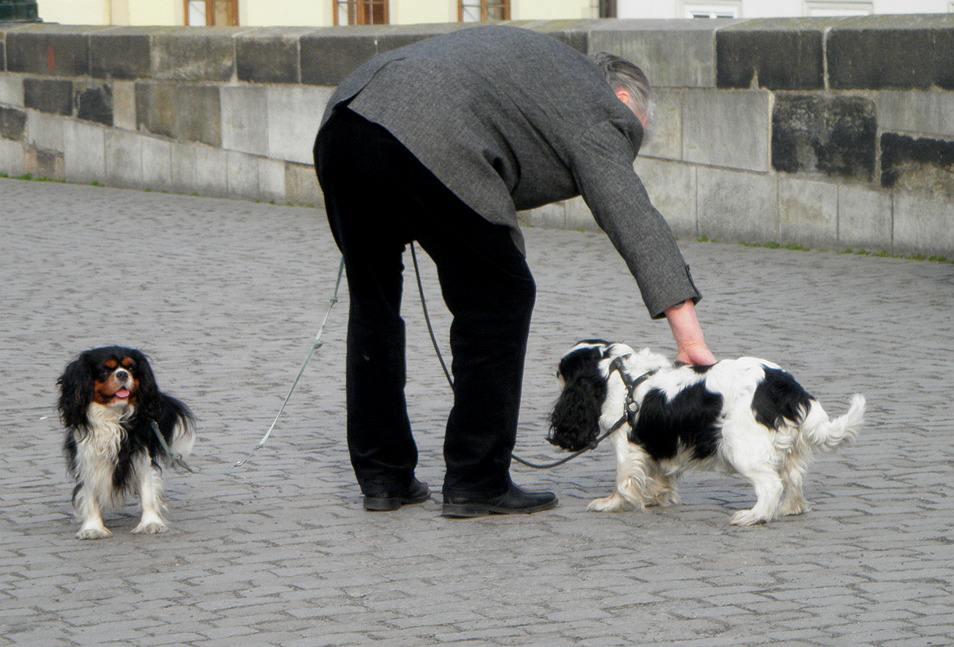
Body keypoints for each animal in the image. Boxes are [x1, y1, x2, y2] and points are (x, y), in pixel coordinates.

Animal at [57, 346, 195, 539]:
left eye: (131, 368)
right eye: (105, 370)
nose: (122, 374)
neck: (114, 416)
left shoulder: (141, 455)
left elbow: (147, 491)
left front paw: (151, 523)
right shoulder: (88, 456)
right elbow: (90, 494)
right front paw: (93, 528)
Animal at [548, 340, 864, 526]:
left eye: (562, 372)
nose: (554, 373)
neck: (617, 372)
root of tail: (788, 388)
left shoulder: (627, 446)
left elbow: (624, 481)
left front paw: (611, 503)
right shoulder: (659, 442)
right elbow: (659, 474)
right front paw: (657, 496)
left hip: (741, 447)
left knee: (771, 485)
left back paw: (754, 516)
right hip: (788, 445)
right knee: (793, 478)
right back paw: (789, 508)